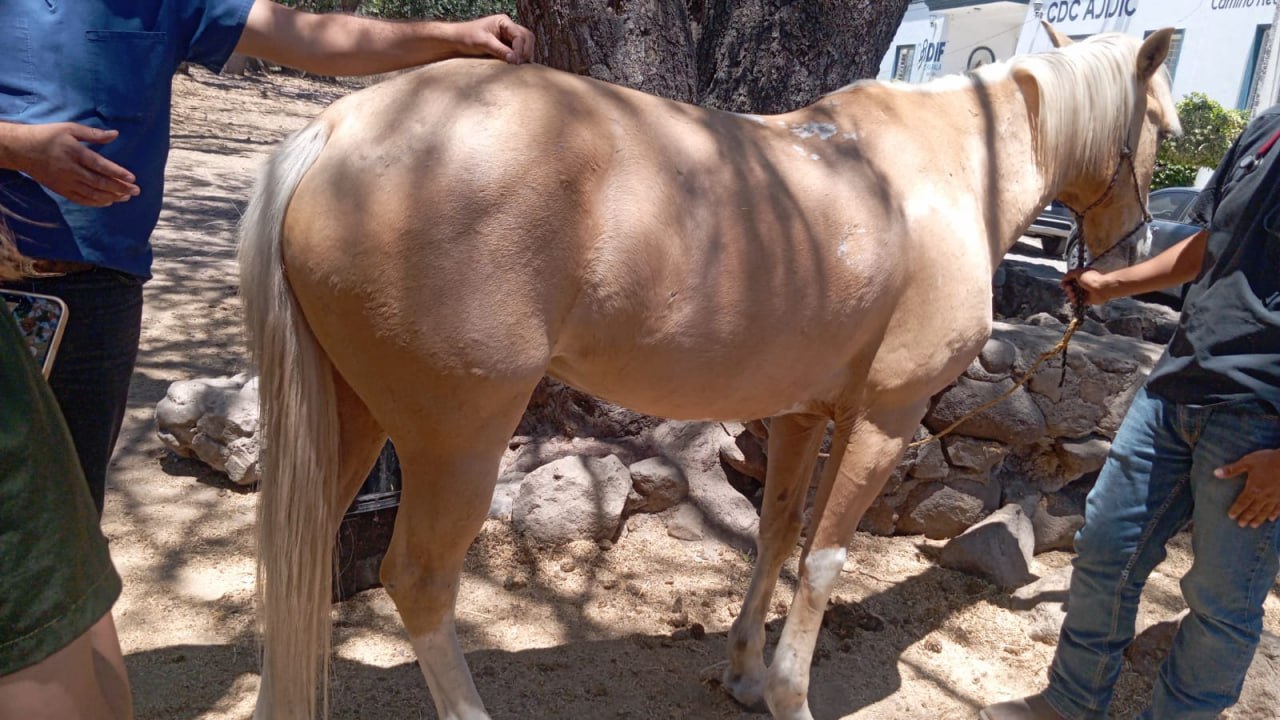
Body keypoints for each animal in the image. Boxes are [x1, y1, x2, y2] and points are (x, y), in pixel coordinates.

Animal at [239, 22, 1179, 720]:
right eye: (1165, 133)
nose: (1132, 253)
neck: (946, 169)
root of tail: (336, 131)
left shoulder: (799, 415)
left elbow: (776, 537)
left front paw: (745, 673)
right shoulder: (886, 416)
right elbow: (825, 559)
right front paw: (791, 695)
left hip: (352, 417)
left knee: (302, 552)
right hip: (460, 438)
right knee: (419, 583)